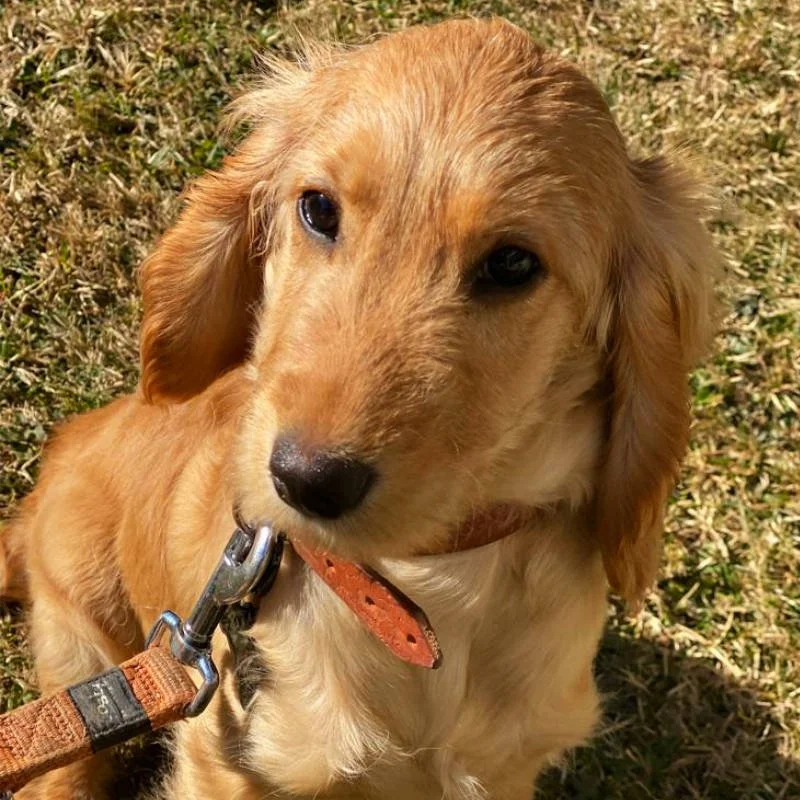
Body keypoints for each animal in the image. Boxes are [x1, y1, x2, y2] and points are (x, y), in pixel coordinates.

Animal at [1, 17, 718, 800]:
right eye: (318, 208)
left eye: (513, 264)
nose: (304, 479)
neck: (425, 586)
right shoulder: (228, 755)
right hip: (85, 630)